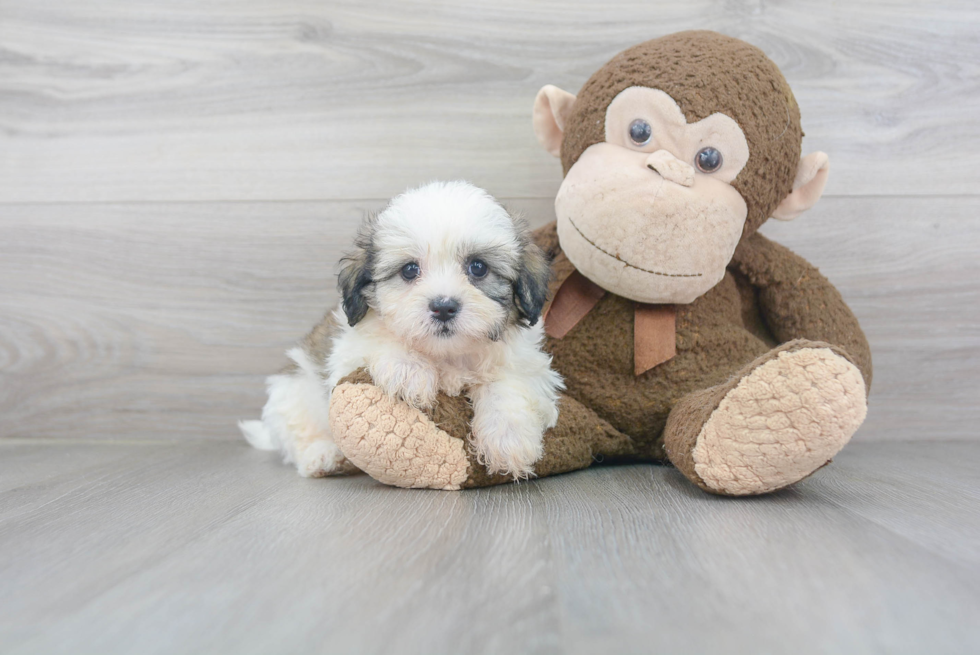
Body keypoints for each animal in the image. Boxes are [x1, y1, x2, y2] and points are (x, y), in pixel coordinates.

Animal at [239, 182, 568, 480]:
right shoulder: (347, 348)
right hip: (294, 393)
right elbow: (379, 340)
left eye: (478, 267)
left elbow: (509, 384)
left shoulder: (527, 363)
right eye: (410, 270)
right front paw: (409, 369)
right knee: (299, 435)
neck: (447, 354)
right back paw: (324, 456)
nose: (444, 307)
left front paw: (508, 439)